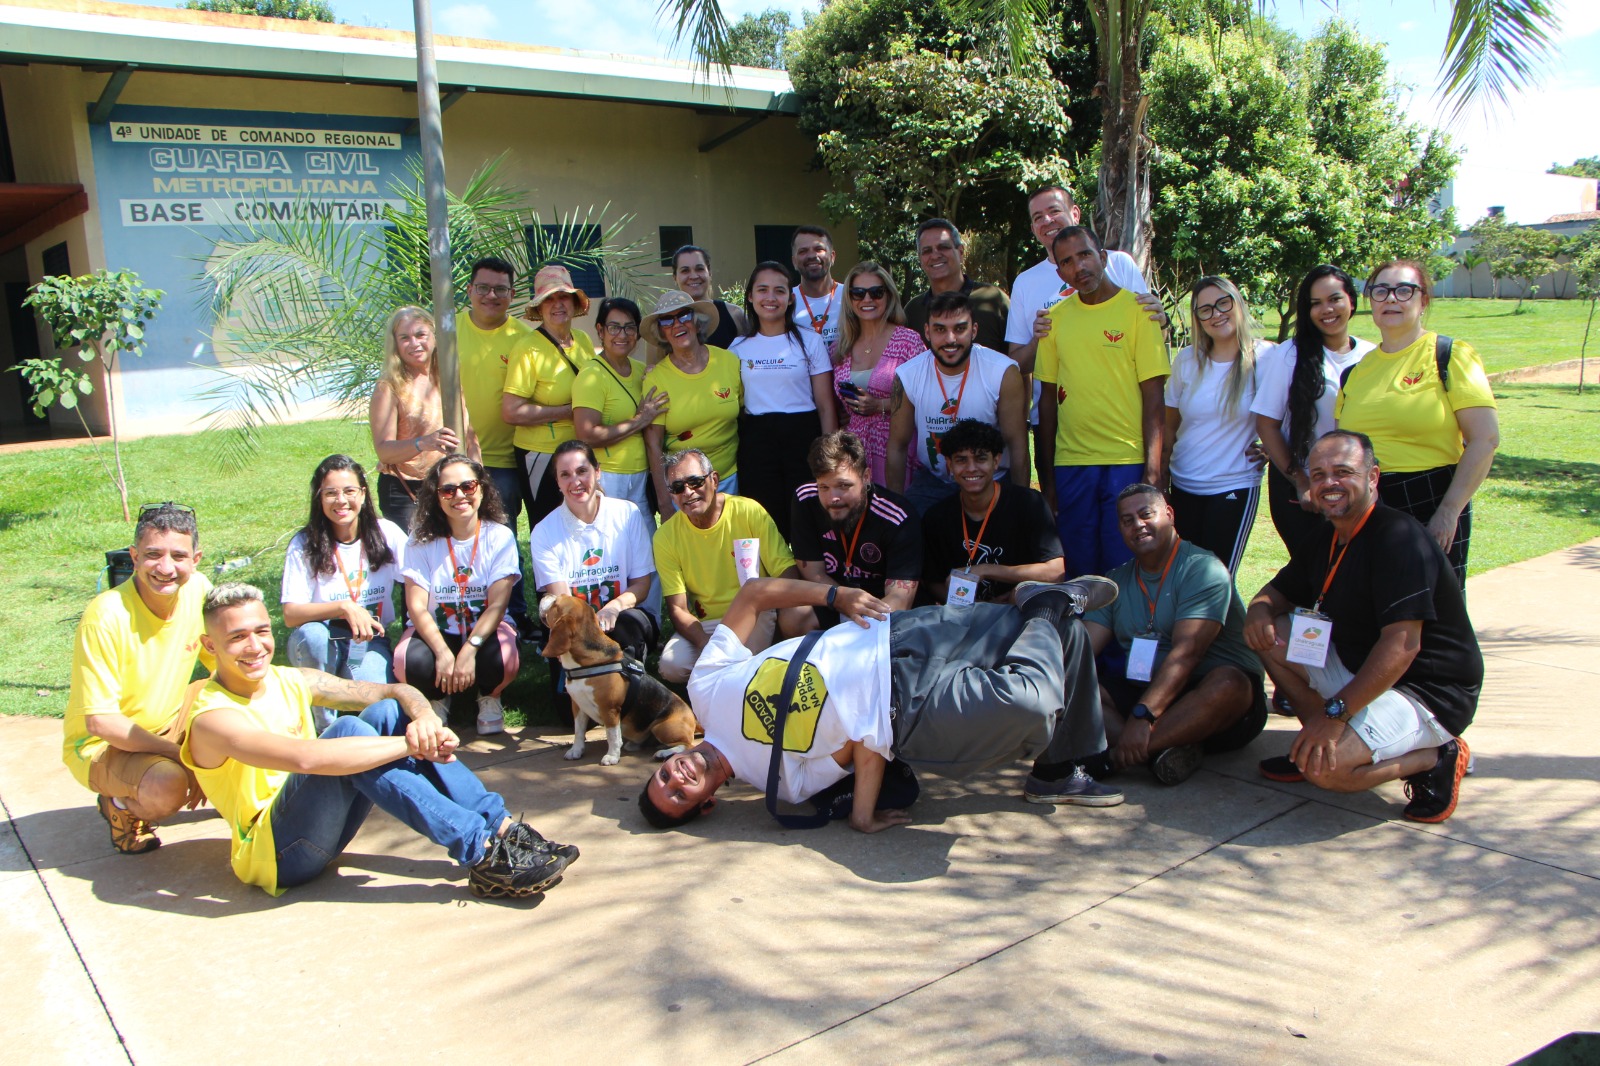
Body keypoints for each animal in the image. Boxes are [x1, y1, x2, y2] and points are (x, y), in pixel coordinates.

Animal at [540, 589, 697, 765]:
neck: (585, 663)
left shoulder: (610, 709)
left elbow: (612, 736)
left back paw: (663, 753)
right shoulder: (578, 706)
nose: (545, 594)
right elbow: (579, 731)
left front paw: (612, 756)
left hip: (662, 727)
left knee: (688, 745)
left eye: (556, 603)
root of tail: (693, 718)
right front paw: (576, 750)